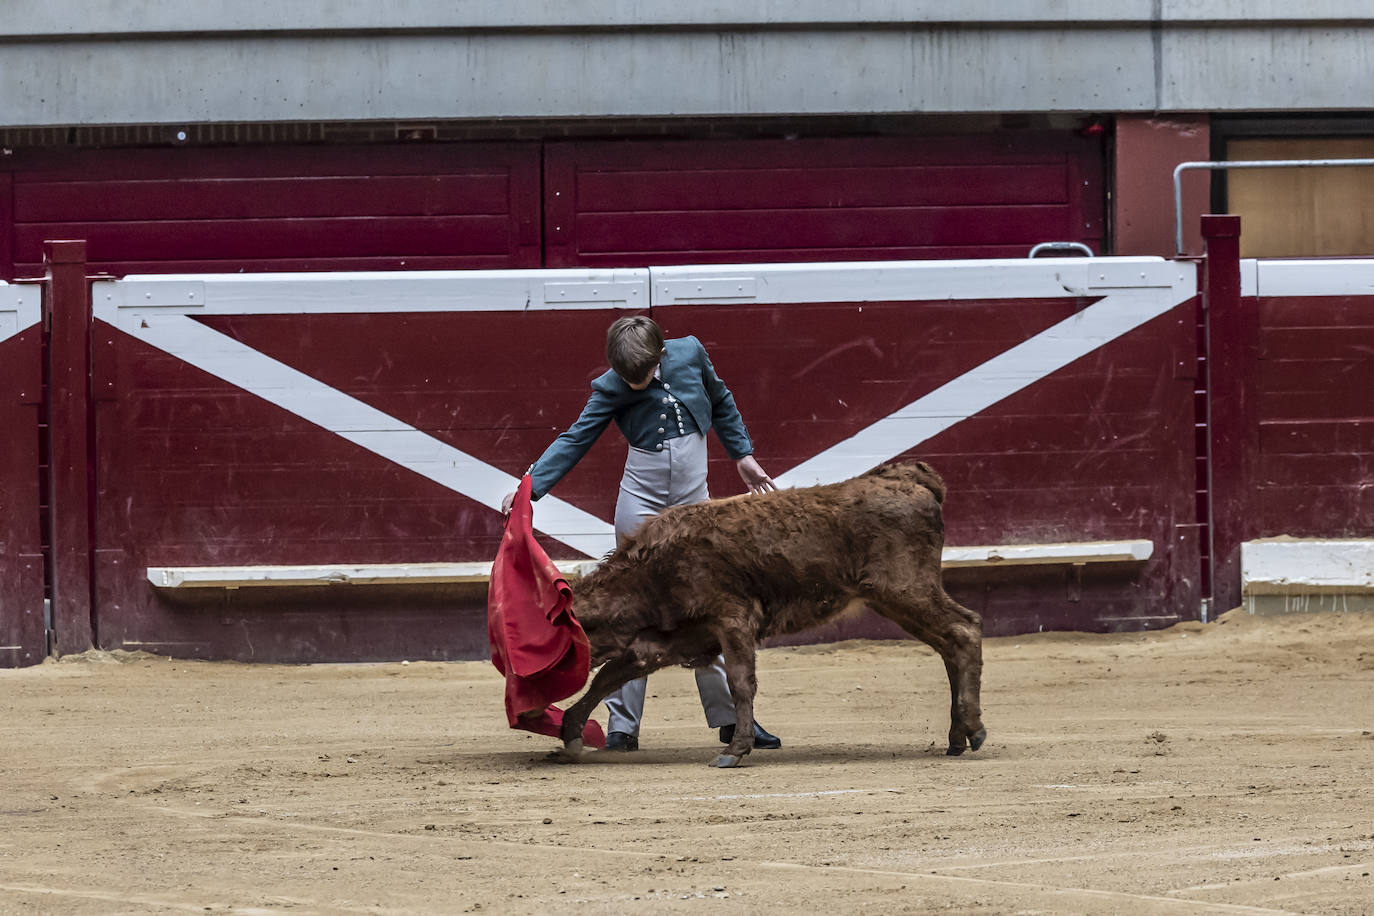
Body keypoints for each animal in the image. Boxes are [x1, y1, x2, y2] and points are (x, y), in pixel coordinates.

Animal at [557, 461, 989, 769]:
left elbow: (740, 683)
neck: (652, 569)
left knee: (965, 630)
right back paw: (957, 737)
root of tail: (908, 478)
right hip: (896, 599)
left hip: (905, 590)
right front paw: (570, 731)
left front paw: (736, 749)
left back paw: (972, 728)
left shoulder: (732, 618)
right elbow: (608, 678)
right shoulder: (666, 641)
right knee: (950, 645)